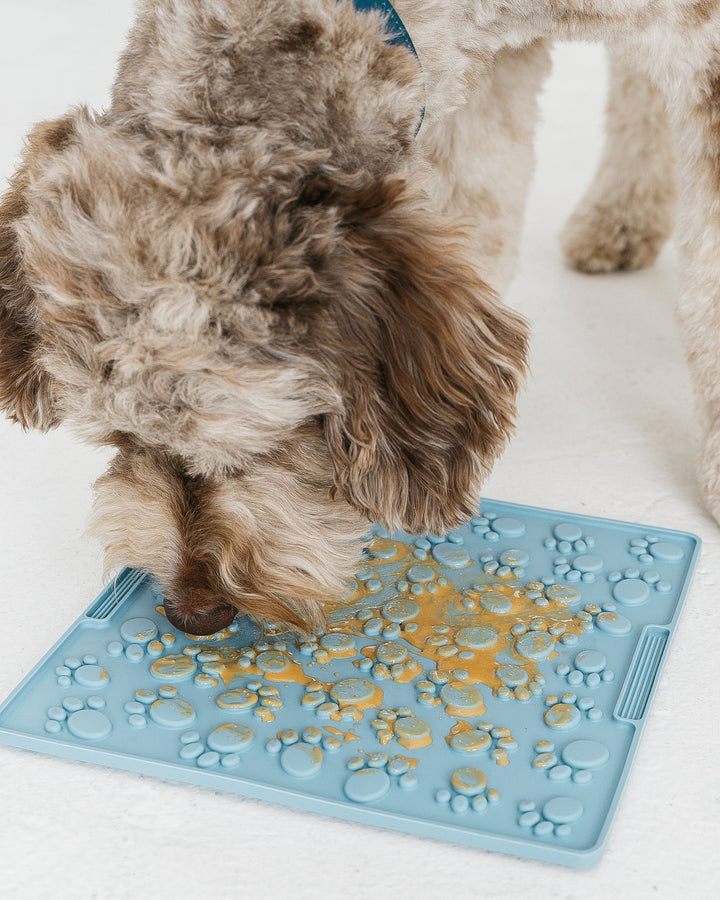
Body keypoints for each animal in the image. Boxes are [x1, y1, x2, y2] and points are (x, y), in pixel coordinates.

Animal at [0, 0, 712, 636]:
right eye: (120, 439)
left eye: (263, 447)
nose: (192, 615)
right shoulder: (484, 75)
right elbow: (481, 211)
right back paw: (622, 215)